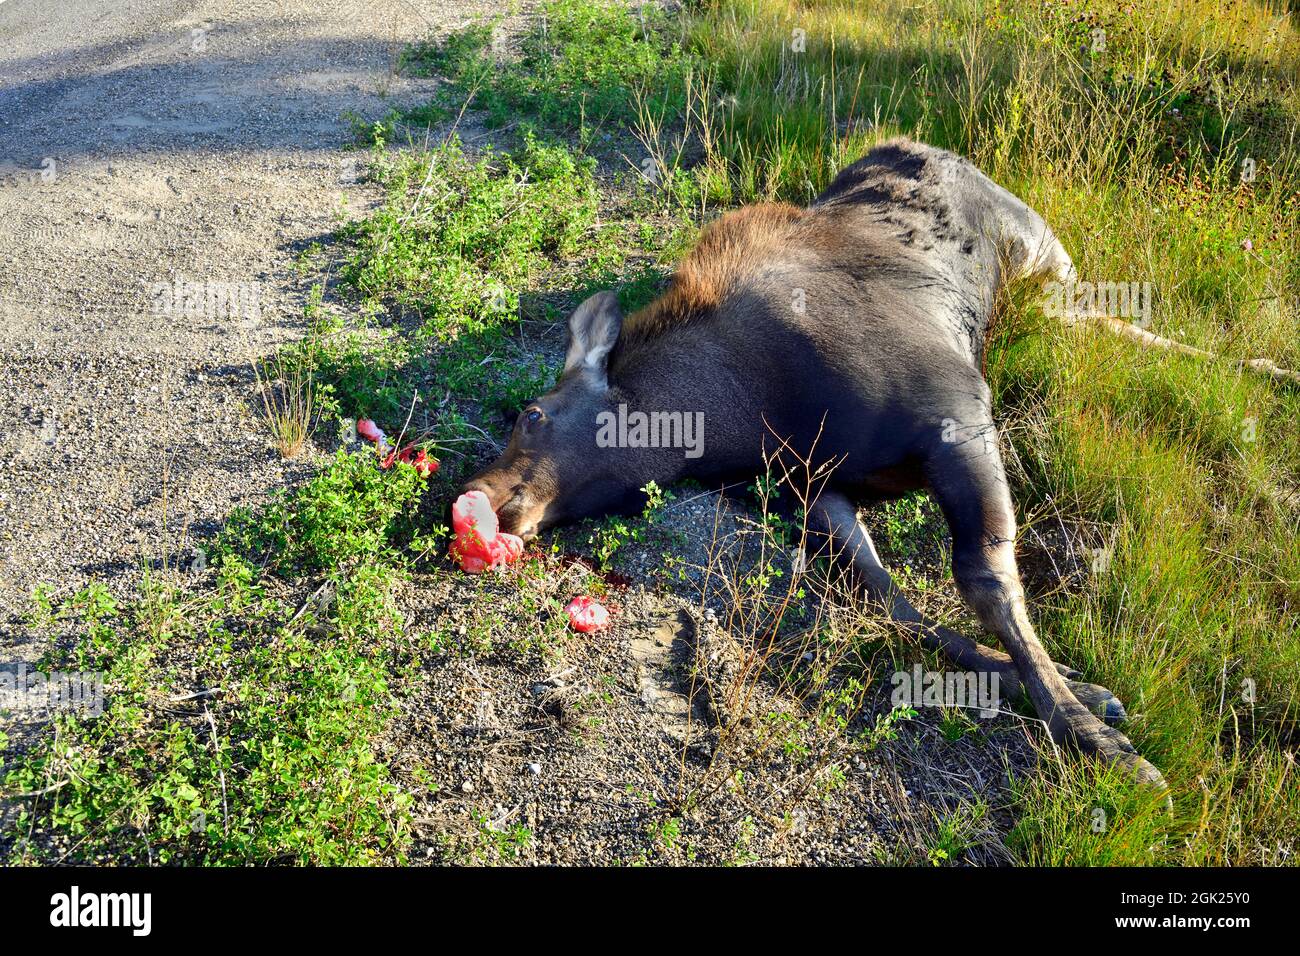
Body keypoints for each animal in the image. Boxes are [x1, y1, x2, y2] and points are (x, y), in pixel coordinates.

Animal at [460, 134, 1237, 790]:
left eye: (532, 414)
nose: (468, 494)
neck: (743, 411)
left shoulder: (957, 412)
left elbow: (986, 578)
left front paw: (1099, 742)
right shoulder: (817, 489)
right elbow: (896, 604)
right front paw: (1075, 687)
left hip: (1047, 270)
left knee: (1131, 327)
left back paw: (1248, 366)